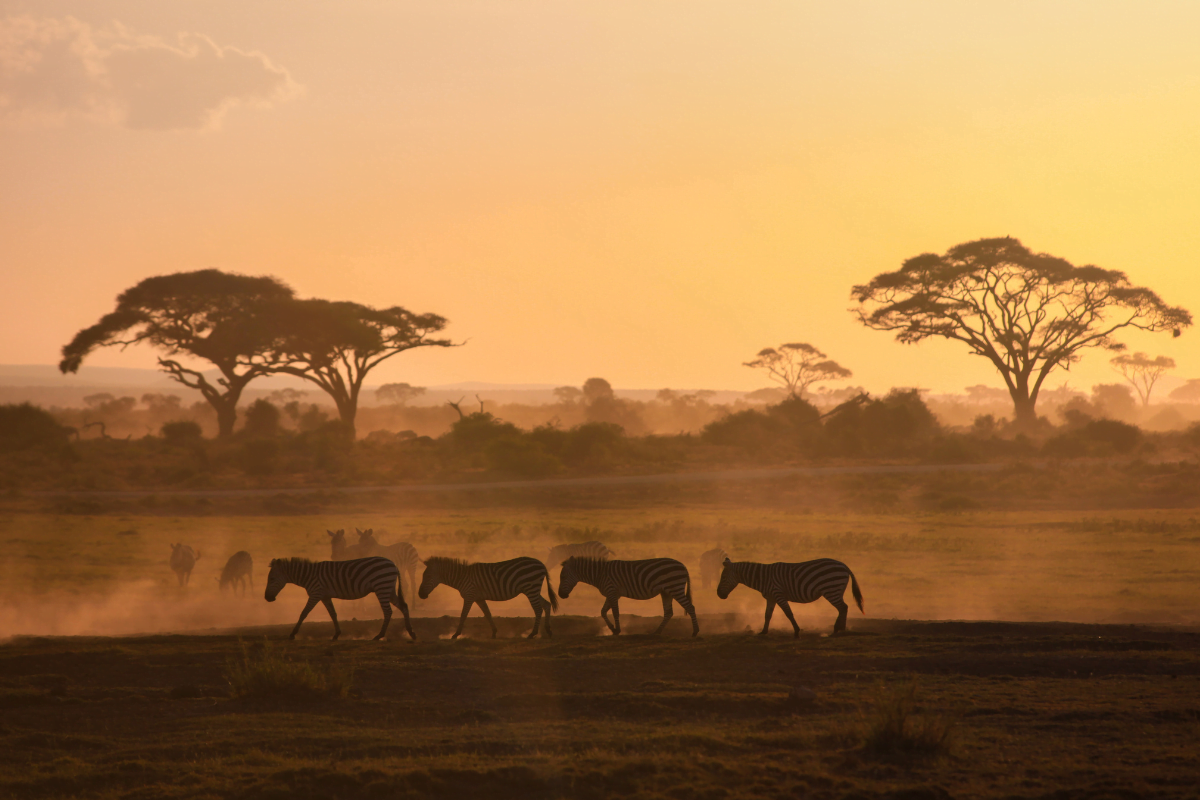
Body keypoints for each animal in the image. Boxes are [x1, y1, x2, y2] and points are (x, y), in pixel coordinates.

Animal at [265, 556, 415, 642]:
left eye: (271, 579)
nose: (267, 598)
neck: (308, 576)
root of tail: (393, 564)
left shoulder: (315, 593)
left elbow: (304, 613)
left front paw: (292, 634)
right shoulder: (324, 596)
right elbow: (333, 614)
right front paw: (336, 634)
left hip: (382, 587)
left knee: (388, 612)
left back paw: (379, 636)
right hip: (388, 588)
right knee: (404, 606)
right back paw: (411, 633)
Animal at [417, 556, 556, 638]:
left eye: (427, 576)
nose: (420, 595)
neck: (461, 577)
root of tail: (541, 564)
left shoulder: (469, 595)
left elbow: (463, 615)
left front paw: (456, 634)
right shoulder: (478, 598)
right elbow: (487, 613)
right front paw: (494, 632)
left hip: (531, 588)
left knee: (538, 609)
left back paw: (533, 633)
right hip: (532, 589)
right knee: (547, 604)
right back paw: (548, 630)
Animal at [556, 556, 700, 638]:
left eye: (562, 576)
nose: (560, 595)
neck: (599, 574)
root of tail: (683, 566)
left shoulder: (612, 591)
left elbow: (615, 612)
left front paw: (618, 629)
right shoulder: (612, 593)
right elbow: (603, 611)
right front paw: (612, 629)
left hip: (675, 588)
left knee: (690, 607)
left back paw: (695, 632)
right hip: (666, 592)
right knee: (669, 612)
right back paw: (657, 632)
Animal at [715, 556, 868, 638]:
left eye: (723, 578)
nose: (719, 595)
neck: (763, 577)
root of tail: (844, 566)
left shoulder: (778, 594)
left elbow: (789, 613)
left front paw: (796, 632)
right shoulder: (771, 597)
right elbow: (767, 615)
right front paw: (763, 631)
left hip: (831, 589)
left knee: (843, 607)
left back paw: (836, 630)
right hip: (836, 590)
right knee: (844, 608)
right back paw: (841, 629)